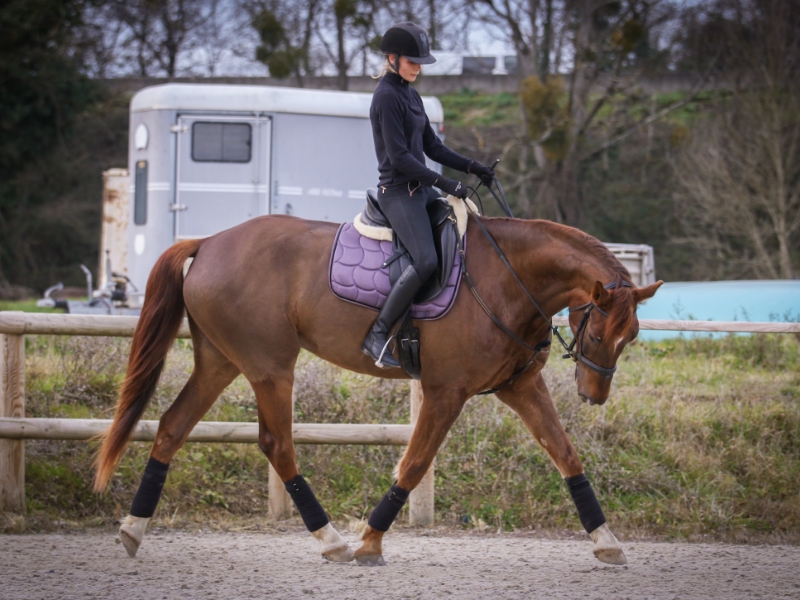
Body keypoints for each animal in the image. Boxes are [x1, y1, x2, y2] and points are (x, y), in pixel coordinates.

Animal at [94, 207, 664, 568]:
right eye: (598, 333)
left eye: (632, 336)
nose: (594, 394)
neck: (508, 278)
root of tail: (210, 242)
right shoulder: (445, 392)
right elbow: (413, 464)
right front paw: (371, 542)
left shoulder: (520, 387)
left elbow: (566, 455)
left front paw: (606, 540)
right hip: (270, 367)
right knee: (277, 444)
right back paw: (332, 541)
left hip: (220, 362)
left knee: (172, 427)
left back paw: (132, 530)